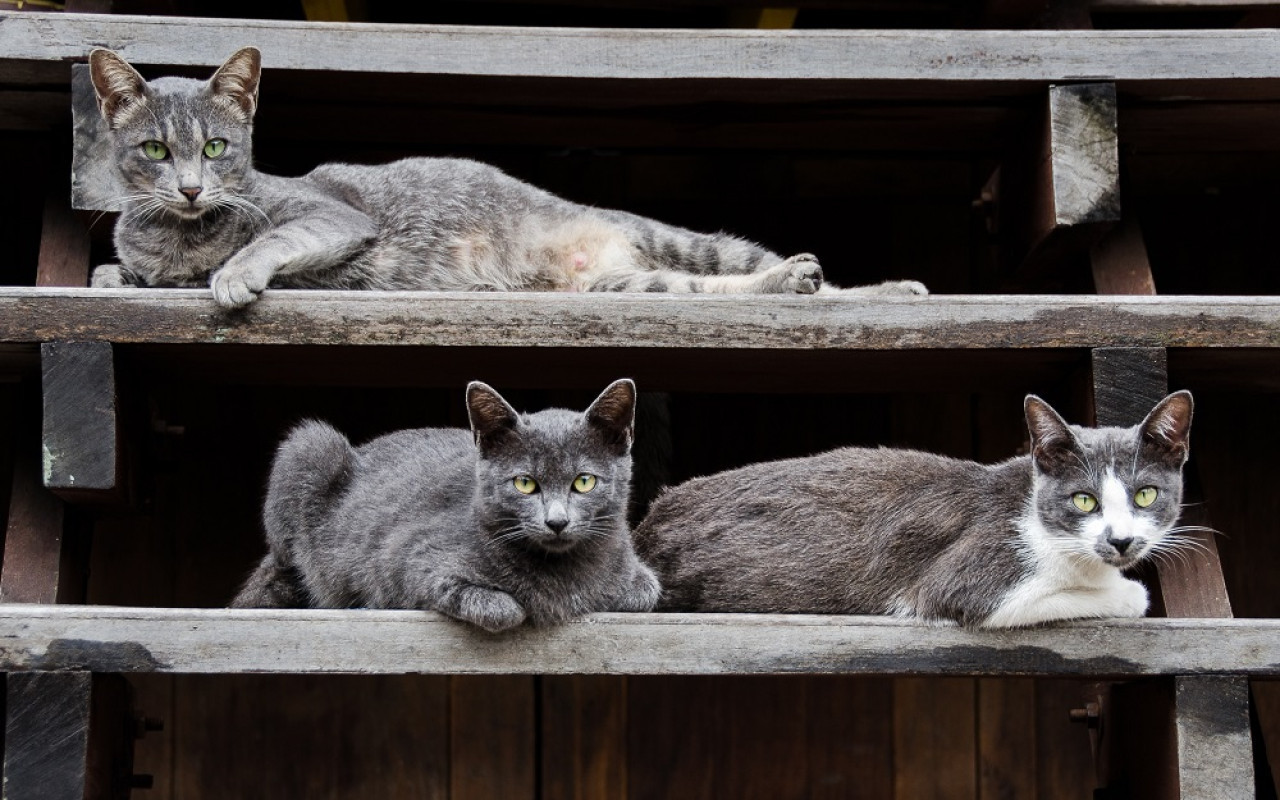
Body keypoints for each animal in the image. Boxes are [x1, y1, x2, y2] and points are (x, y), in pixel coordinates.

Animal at [87, 46, 931, 307]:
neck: (178, 236)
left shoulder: (329, 215)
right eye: (156, 152)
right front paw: (114, 272)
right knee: (724, 292)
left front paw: (231, 273)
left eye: (217, 148)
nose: (191, 187)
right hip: (641, 284)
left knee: (795, 278)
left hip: (683, 239)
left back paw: (859, 285)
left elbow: (263, 242)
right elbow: (118, 269)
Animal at [229, 376, 660, 629]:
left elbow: (644, 591)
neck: (562, 571)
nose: (557, 522)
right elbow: (502, 608)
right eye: (525, 484)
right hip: (309, 446)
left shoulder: (638, 573)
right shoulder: (408, 559)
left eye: (584, 482)